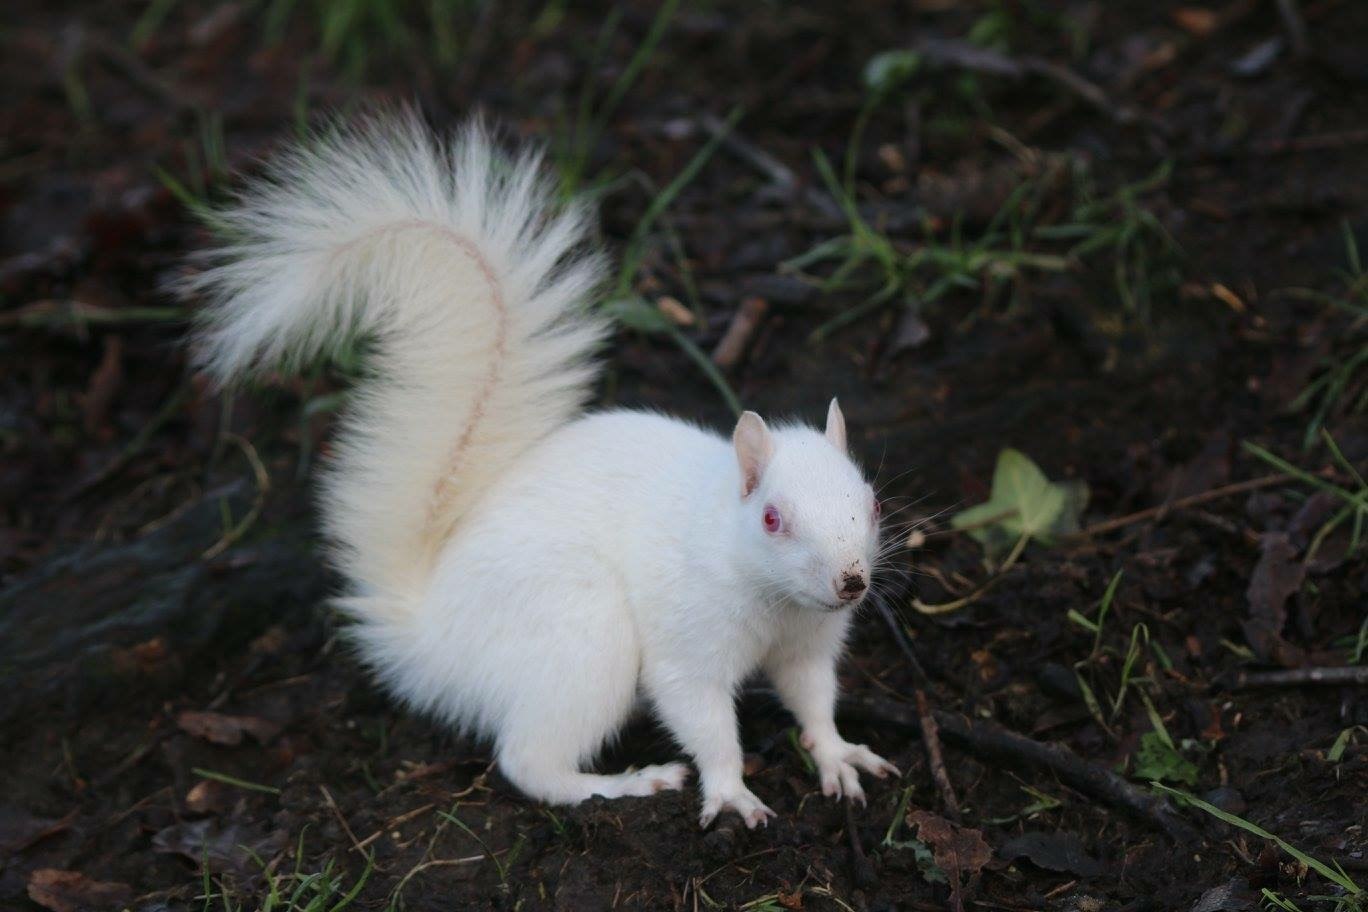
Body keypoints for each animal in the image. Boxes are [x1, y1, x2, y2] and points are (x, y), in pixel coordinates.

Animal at [192, 112, 897, 825]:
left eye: (872, 503)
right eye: (773, 518)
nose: (851, 582)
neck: (773, 596)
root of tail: (427, 636)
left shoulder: (809, 642)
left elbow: (813, 697)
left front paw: (838, 754)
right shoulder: (686, 637)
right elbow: (700, 715)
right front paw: (730, 793)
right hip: (582, 635)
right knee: (528, 762)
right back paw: (623, 785)